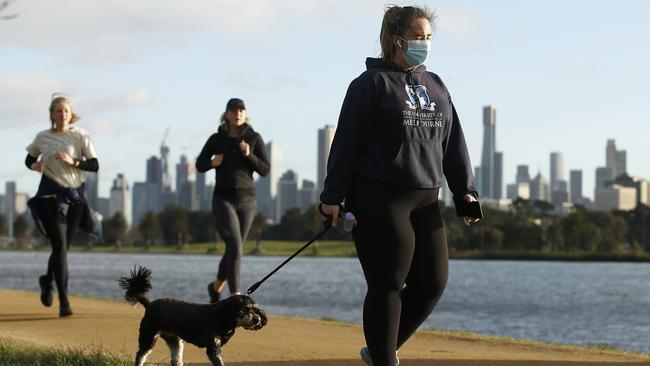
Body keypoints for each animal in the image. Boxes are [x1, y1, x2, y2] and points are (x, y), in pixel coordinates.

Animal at [118, 266, 266, 366]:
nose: (257, 319)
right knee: (140, 355)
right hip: (148, 337)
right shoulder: (213, 348)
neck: (224, 316)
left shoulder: (217, 346)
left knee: (176, 359)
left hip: (175, 341)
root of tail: (149, 304)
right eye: (246, 309)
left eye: (256, 310)